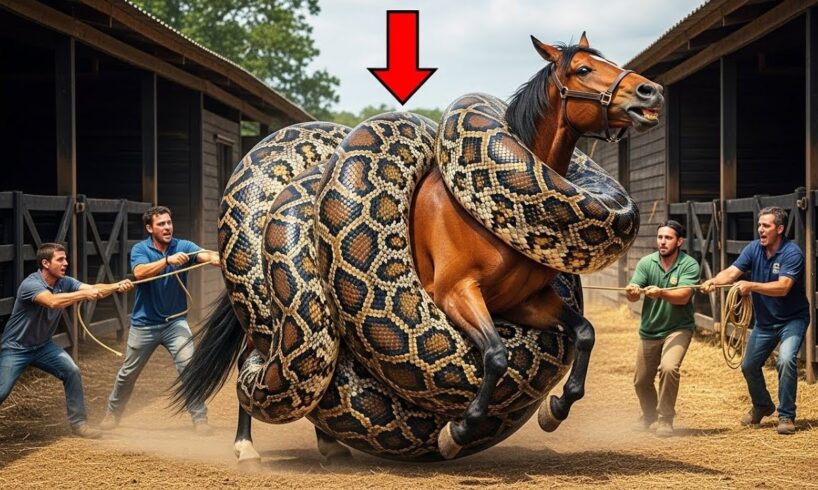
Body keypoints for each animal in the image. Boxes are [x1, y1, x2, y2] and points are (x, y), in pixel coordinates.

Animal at [173, 32, 663, 463]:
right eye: (584, 69)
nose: (651, 90)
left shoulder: (528, 302)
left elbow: (583, 332)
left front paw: (554, 409)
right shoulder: (454, 292)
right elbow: (495, 355)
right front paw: (458, 429)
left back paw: (329, 444)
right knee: (249, 359)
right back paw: (245, 445)